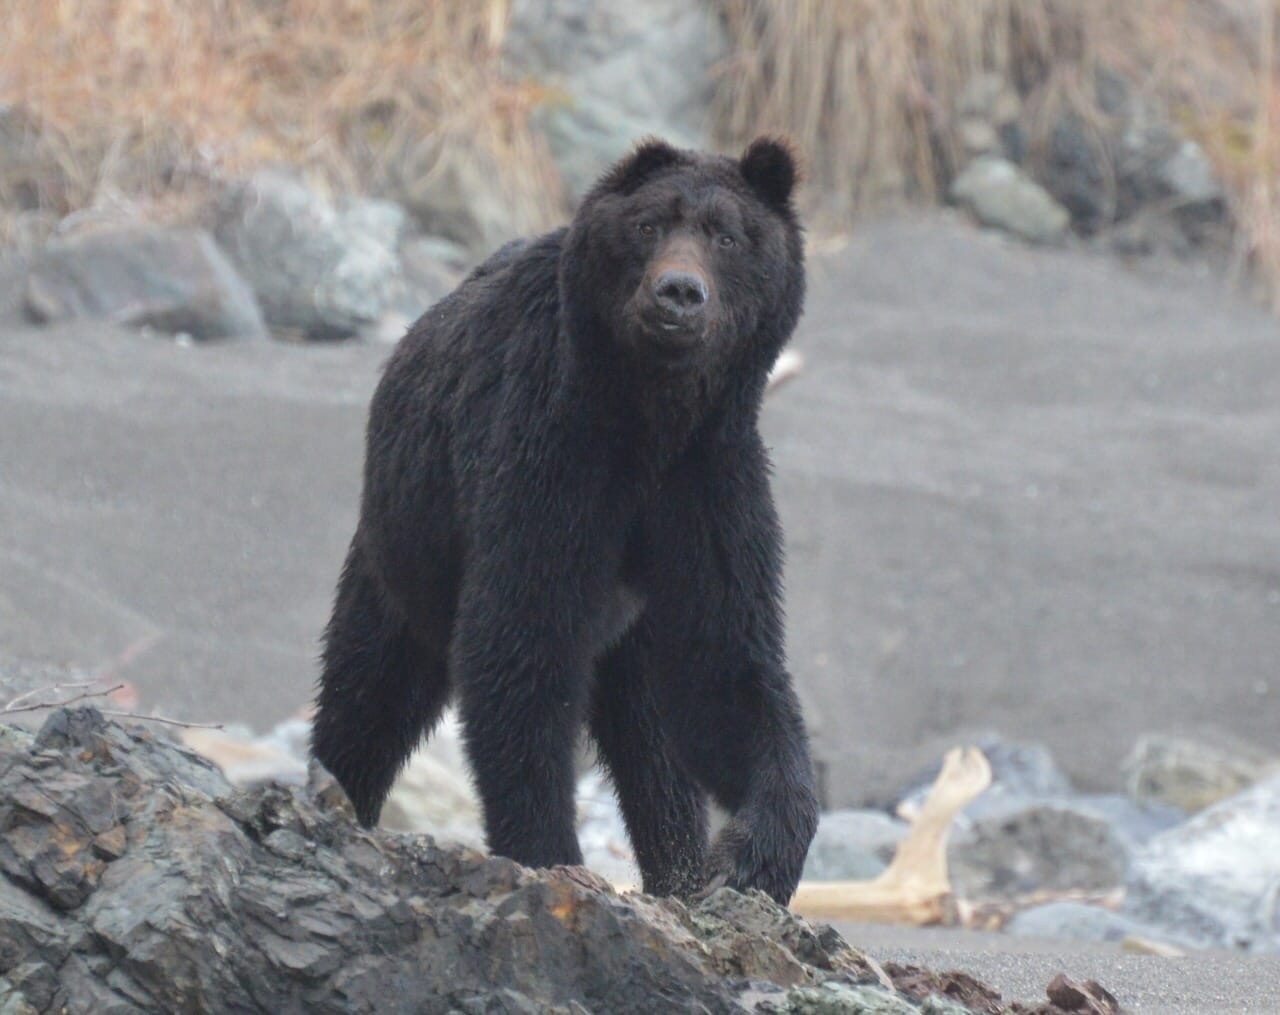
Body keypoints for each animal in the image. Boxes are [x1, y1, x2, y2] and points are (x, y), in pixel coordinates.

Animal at [314, 134, 824, 901]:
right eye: (649, 223)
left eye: (728, 235)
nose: (680, 292)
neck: (648, 418)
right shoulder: (551, 453)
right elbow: (519, 643)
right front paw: (550, 852)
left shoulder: (708, 482)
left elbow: (726, 666)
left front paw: (749, 854)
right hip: (403, 550)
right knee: (366, 692)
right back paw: (337, 792)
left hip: (629, 631)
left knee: (653, 745)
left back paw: (674, 867)